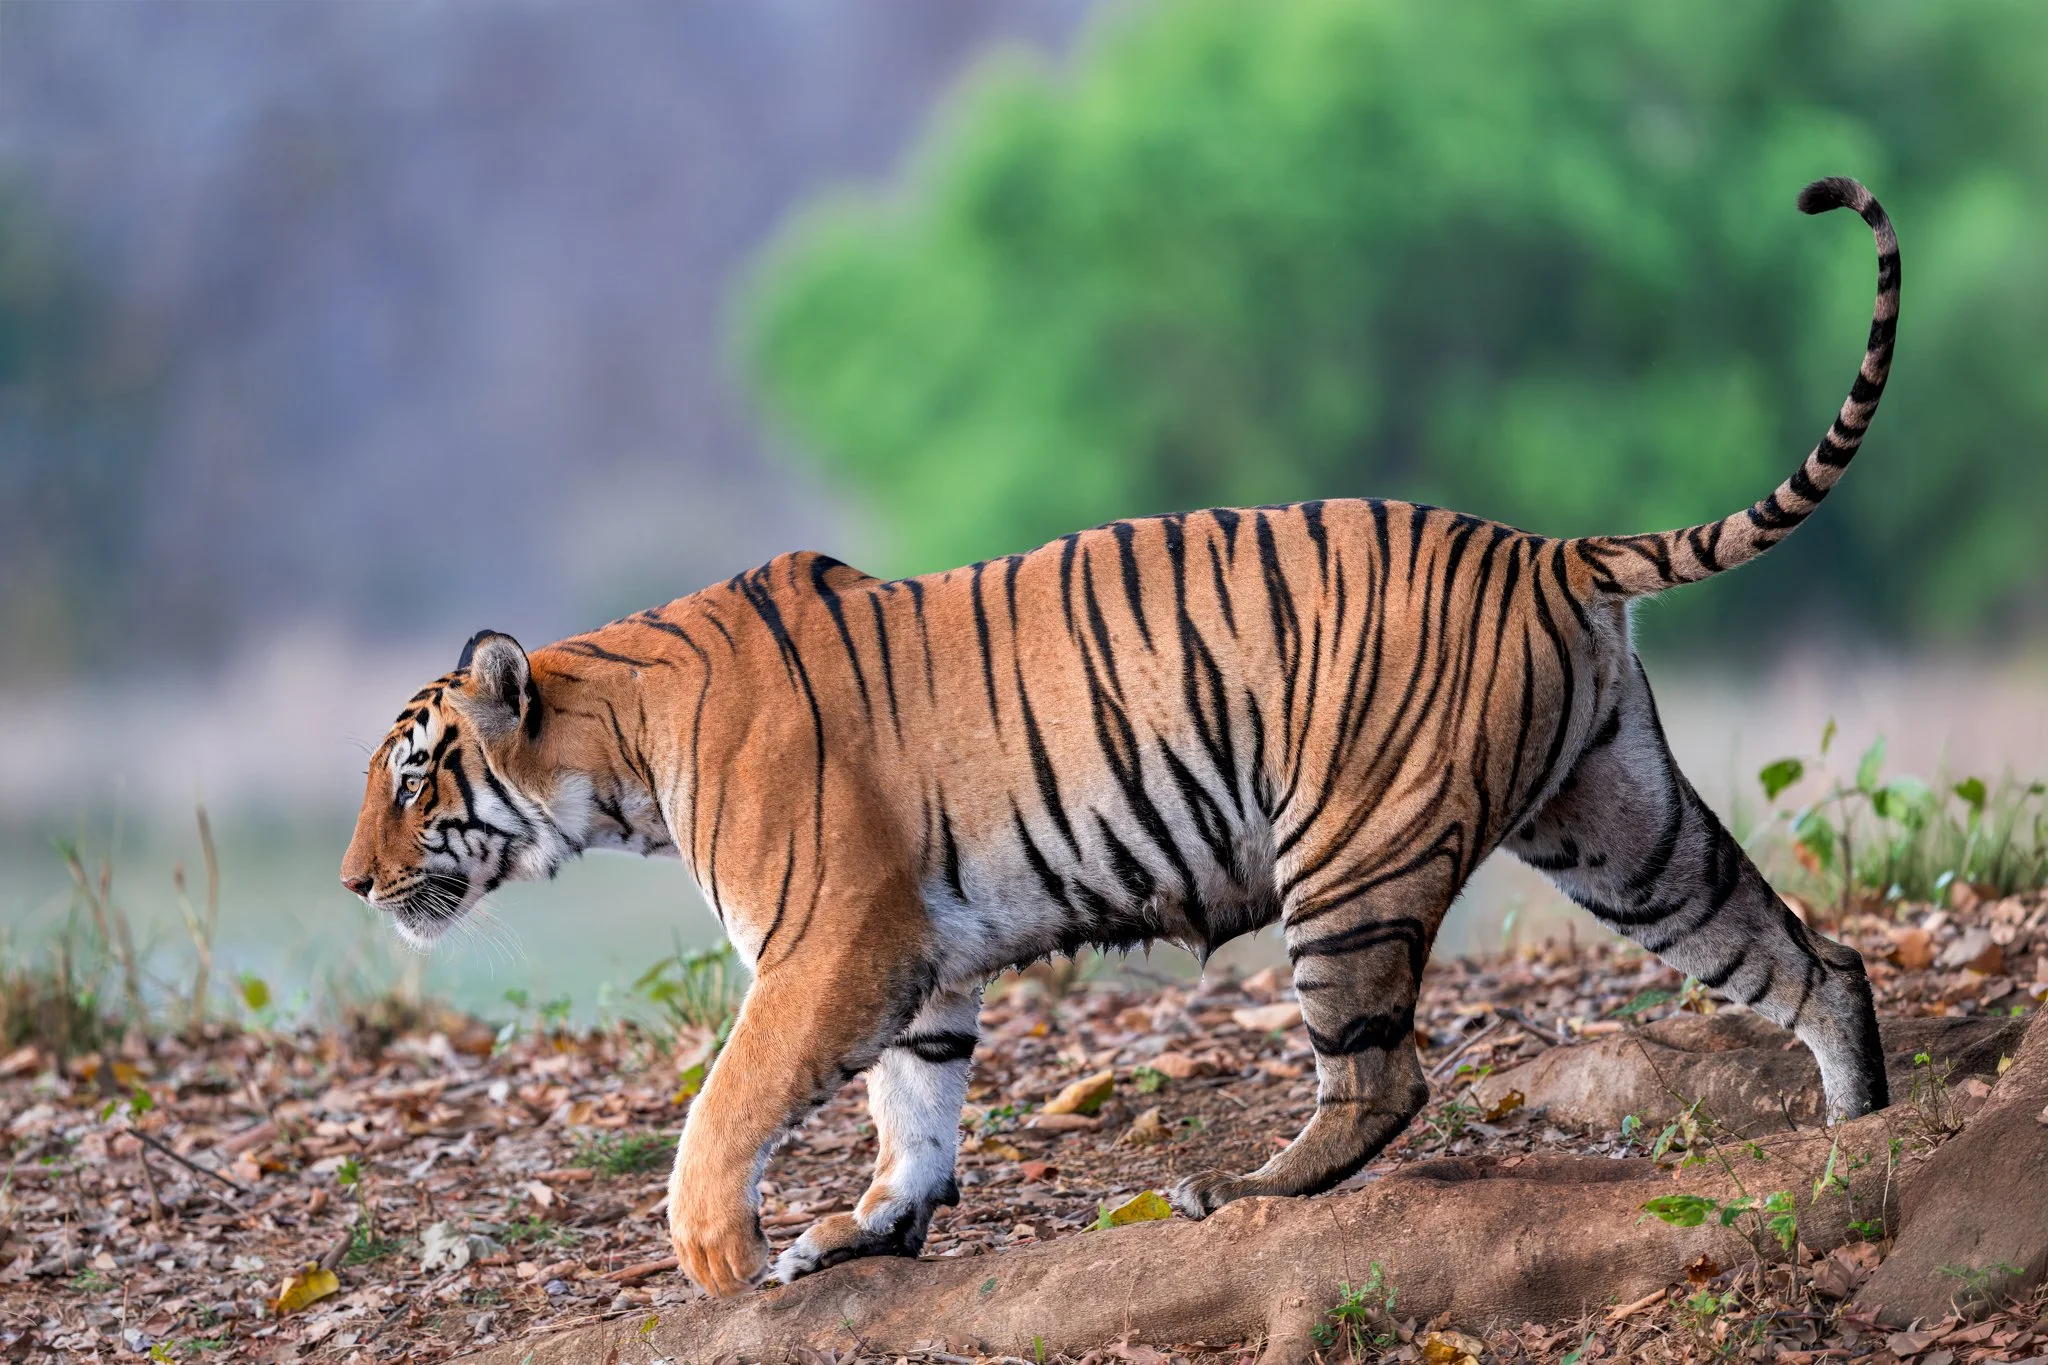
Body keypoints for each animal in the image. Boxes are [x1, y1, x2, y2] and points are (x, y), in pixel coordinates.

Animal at [341, 177, 1898, 1297]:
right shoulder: (915, 952)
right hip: (1621, 828)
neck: (619, 757)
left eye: (414, 779)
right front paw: (862, 1233)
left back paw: (1240, 1193)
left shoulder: (825, 942)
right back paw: (1858, 1133)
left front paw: (718, 1252)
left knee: (1382, 1074)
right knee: (1809, 956)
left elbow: (730, 1101)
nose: (353, 882)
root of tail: (1541, 548)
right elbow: (915, 1108)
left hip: (1350, 855)